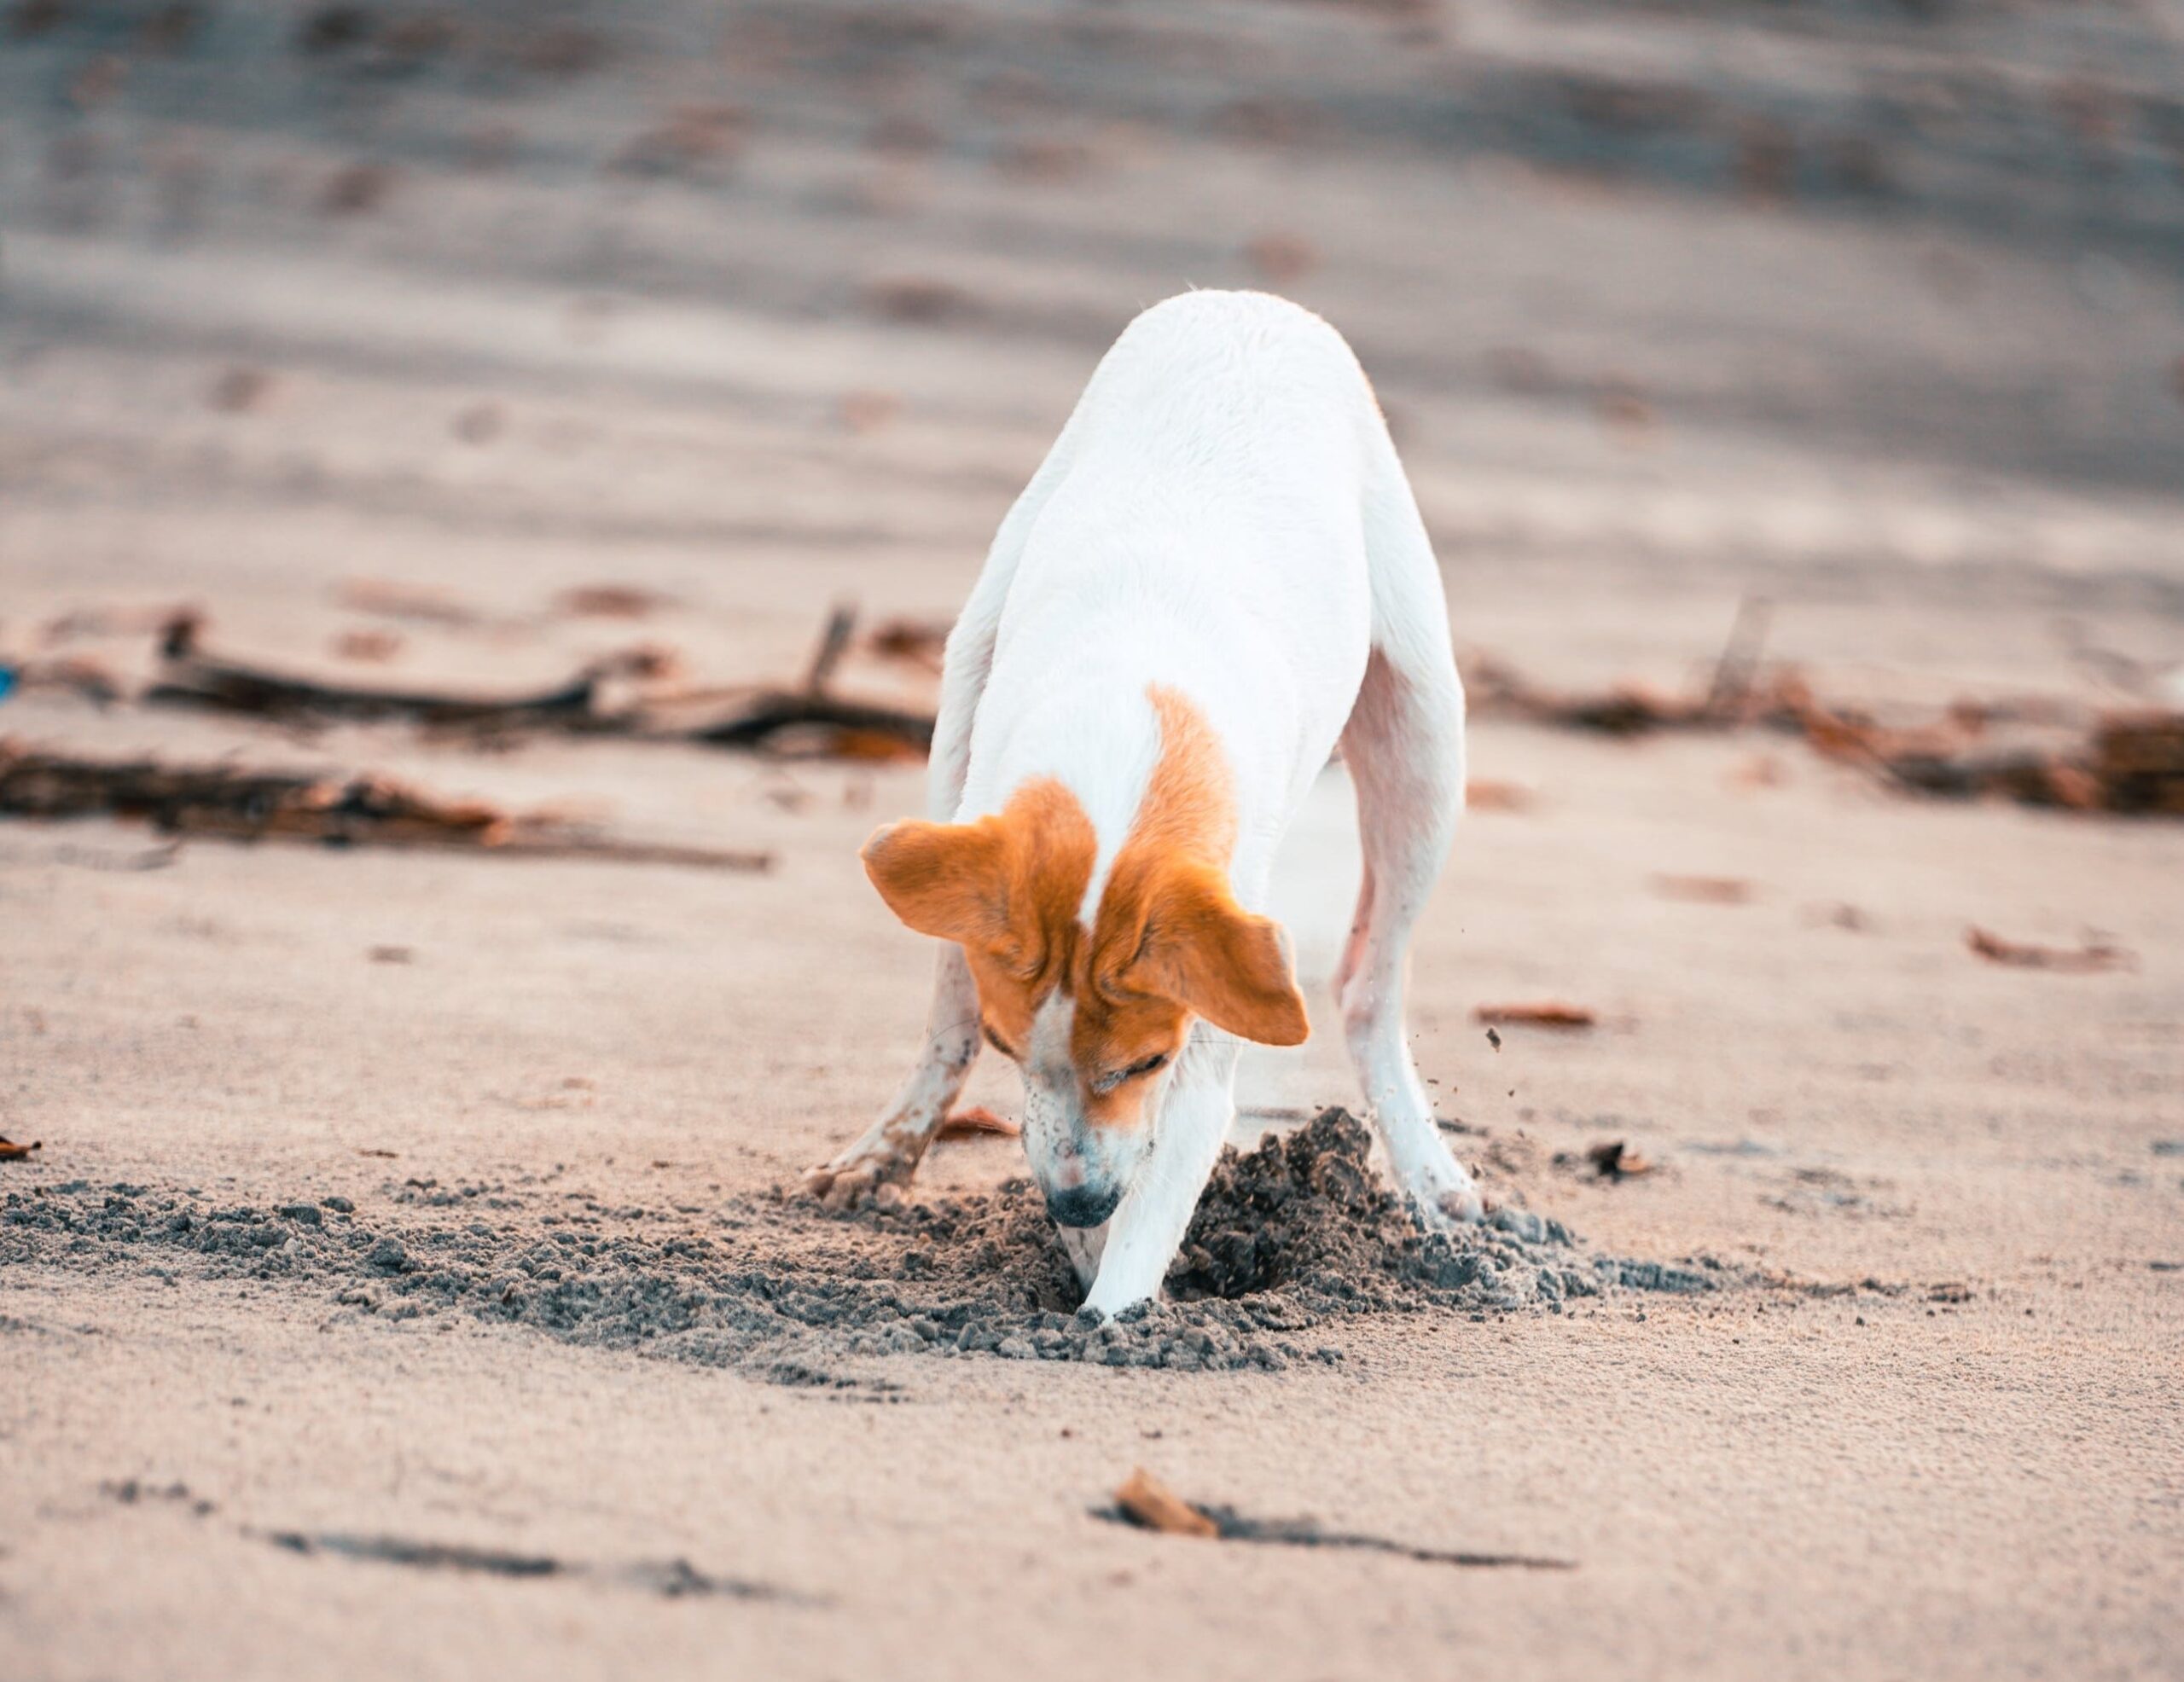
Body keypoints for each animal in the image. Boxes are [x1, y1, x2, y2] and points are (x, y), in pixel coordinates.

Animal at [804, 283, 1484, 1310]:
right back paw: (884, 1154)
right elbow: (993, 1058)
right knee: (944, 1005)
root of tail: (1247, 300)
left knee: (1371, 990)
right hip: (962, 699)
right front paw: (1082, 1257)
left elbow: (1152, 1206)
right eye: (1013, 1051)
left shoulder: (1203, 1030)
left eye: (1148, 1059)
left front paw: (1109, 1309)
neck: (1123, 733)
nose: (1079, 1202)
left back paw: (1432, 1178)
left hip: (1426, 743)